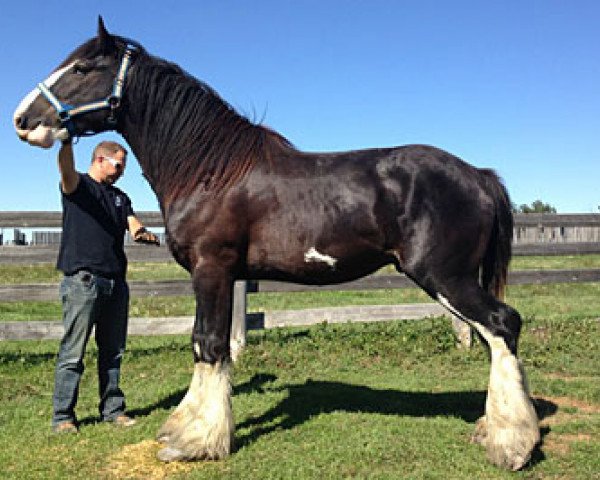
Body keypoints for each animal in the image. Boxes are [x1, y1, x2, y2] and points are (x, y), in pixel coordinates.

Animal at [12, 17, 540, 468]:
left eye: (82, 68)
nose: (22, 119)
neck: (210, 170)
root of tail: (478, 175)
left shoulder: (212, 269)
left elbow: (208, 344)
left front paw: (194, 441)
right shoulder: (226, 276)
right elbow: (210, 345)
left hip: (445, 277)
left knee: (502, 324)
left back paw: (511, 444)